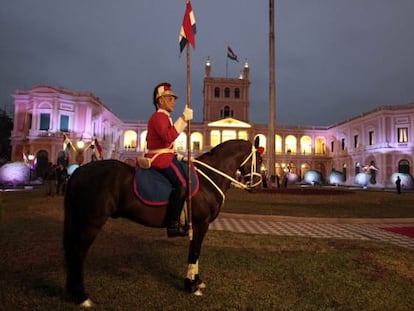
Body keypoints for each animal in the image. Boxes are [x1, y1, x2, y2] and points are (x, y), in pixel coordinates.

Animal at [62, 138, 260, 308]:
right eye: (258, 159)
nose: (257, 185)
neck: (208, 178)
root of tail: (78, 171)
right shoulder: (200, 223)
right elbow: (195, 251)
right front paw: (191, 285)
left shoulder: (200, 225)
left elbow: (197, 252)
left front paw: (196, 281)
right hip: (92, 221)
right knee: (79, 252)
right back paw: (81, 296)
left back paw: (73, 292)